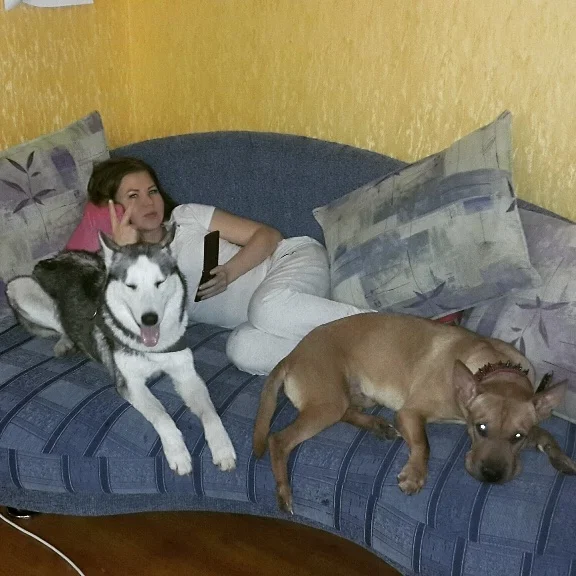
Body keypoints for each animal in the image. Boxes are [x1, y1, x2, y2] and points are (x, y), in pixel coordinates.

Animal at [6, 227, 236, 476]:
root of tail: (55, 257)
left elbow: (211, 414)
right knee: (60, 323)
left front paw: (222, 448)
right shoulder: (131, 384)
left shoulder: (187, 376)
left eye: (159, 282)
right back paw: (67, 341)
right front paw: (178, 453)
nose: (149, 319)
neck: (152, 348)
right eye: (131, 285)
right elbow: (163, 416)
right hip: (19, 287)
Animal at [252, 313, 576, 513]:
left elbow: (545, 434)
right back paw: (283, 492)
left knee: (348, 412)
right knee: (278, 440)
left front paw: (562, 458)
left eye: (518, 437)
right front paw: (415, 474)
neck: (491, 366)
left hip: (349, 398)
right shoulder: (410, 413)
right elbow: (424, 443)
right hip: (326, 403)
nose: (491, 476)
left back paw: (378, 426)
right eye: (480, 428)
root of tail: (291, 355)